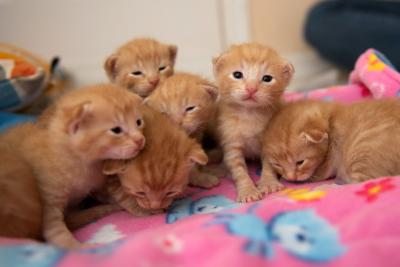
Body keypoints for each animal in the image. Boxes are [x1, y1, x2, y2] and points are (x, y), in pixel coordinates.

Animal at [0, 85, 146, 250]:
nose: (140, 140)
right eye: (116, 130)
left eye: (138, 122)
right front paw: (79, 247)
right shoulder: (48, 197)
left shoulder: (97, 184)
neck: (82, 162)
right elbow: (55, 231)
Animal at [212, 43, 294, 202]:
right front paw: (247, 190)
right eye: (237, 75)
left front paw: (268, 182)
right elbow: (238, 170)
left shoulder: (270, 141)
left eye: (267, 78)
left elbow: (269, 164)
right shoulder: (231, 141)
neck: (249, 113)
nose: (251, 88)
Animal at [260, 99, 400, 185]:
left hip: (362, 151)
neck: (331, 119)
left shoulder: (329, 162)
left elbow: (314, 176)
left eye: (300, 162)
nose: (291, 177)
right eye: (277, 165)